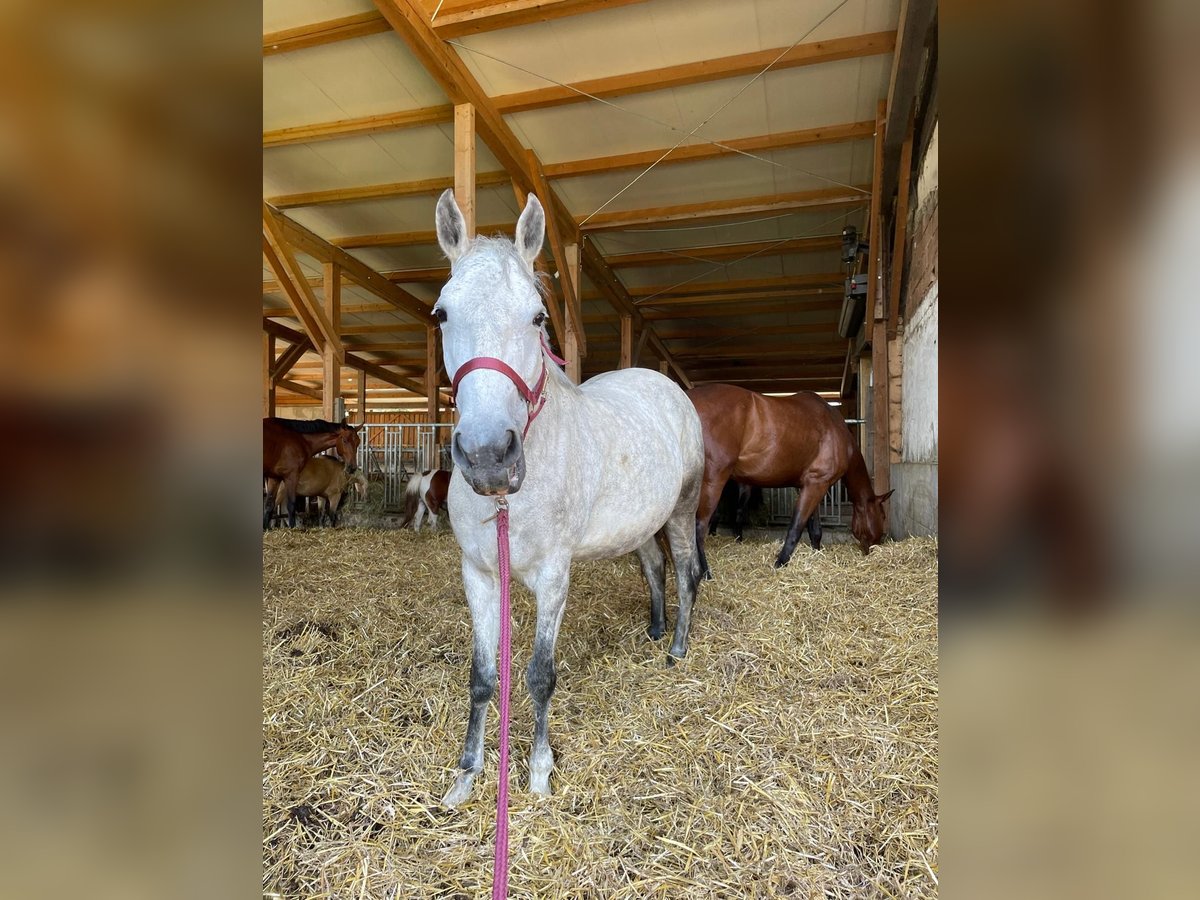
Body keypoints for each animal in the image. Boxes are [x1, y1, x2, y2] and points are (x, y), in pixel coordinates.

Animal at [686, 384, 892, 573]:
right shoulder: (817, 484)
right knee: (698, 529)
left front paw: (815, 554)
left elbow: (815, 529)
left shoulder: (811, 485)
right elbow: (796, 527)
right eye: (882, 516)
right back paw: (705, 574)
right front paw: (780, 563)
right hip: (712, 482)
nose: (874, 548)